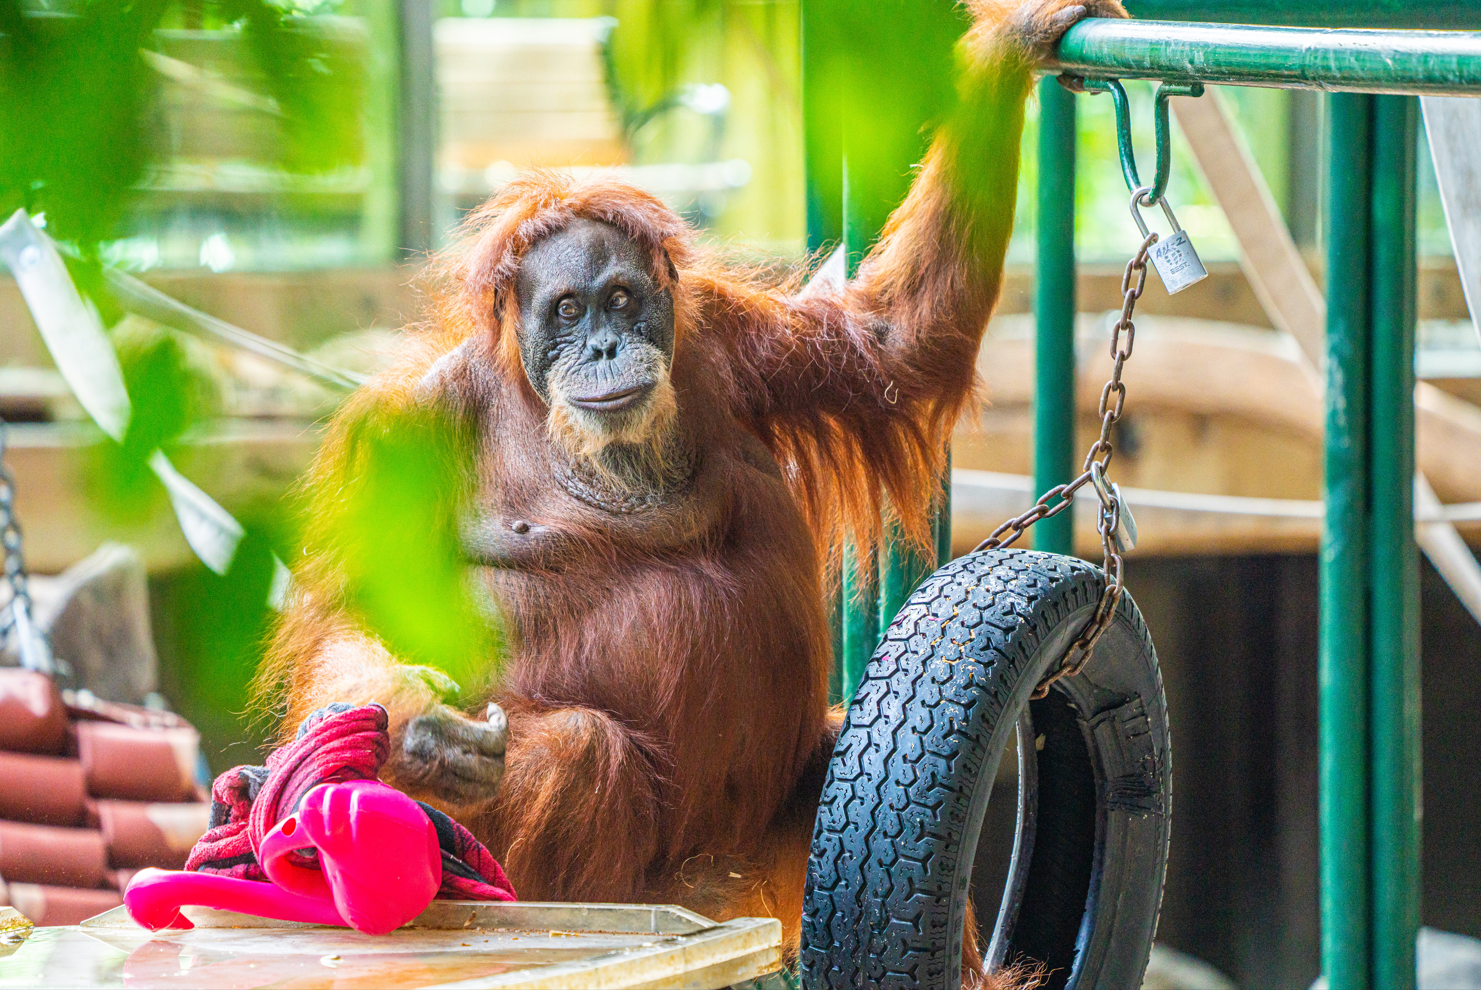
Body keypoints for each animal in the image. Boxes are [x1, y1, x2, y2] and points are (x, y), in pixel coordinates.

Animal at [258, 2, 1127, 985]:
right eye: (566, 311)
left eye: (621, 298)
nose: (604, 347)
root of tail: (703, 891)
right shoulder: (398, 434)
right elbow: (354, 617)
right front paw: (417, 734)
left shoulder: (736, 341)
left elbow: (887, 345)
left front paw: (1012, 43)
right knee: (578, 750)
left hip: (758, 858)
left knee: (840, 752)